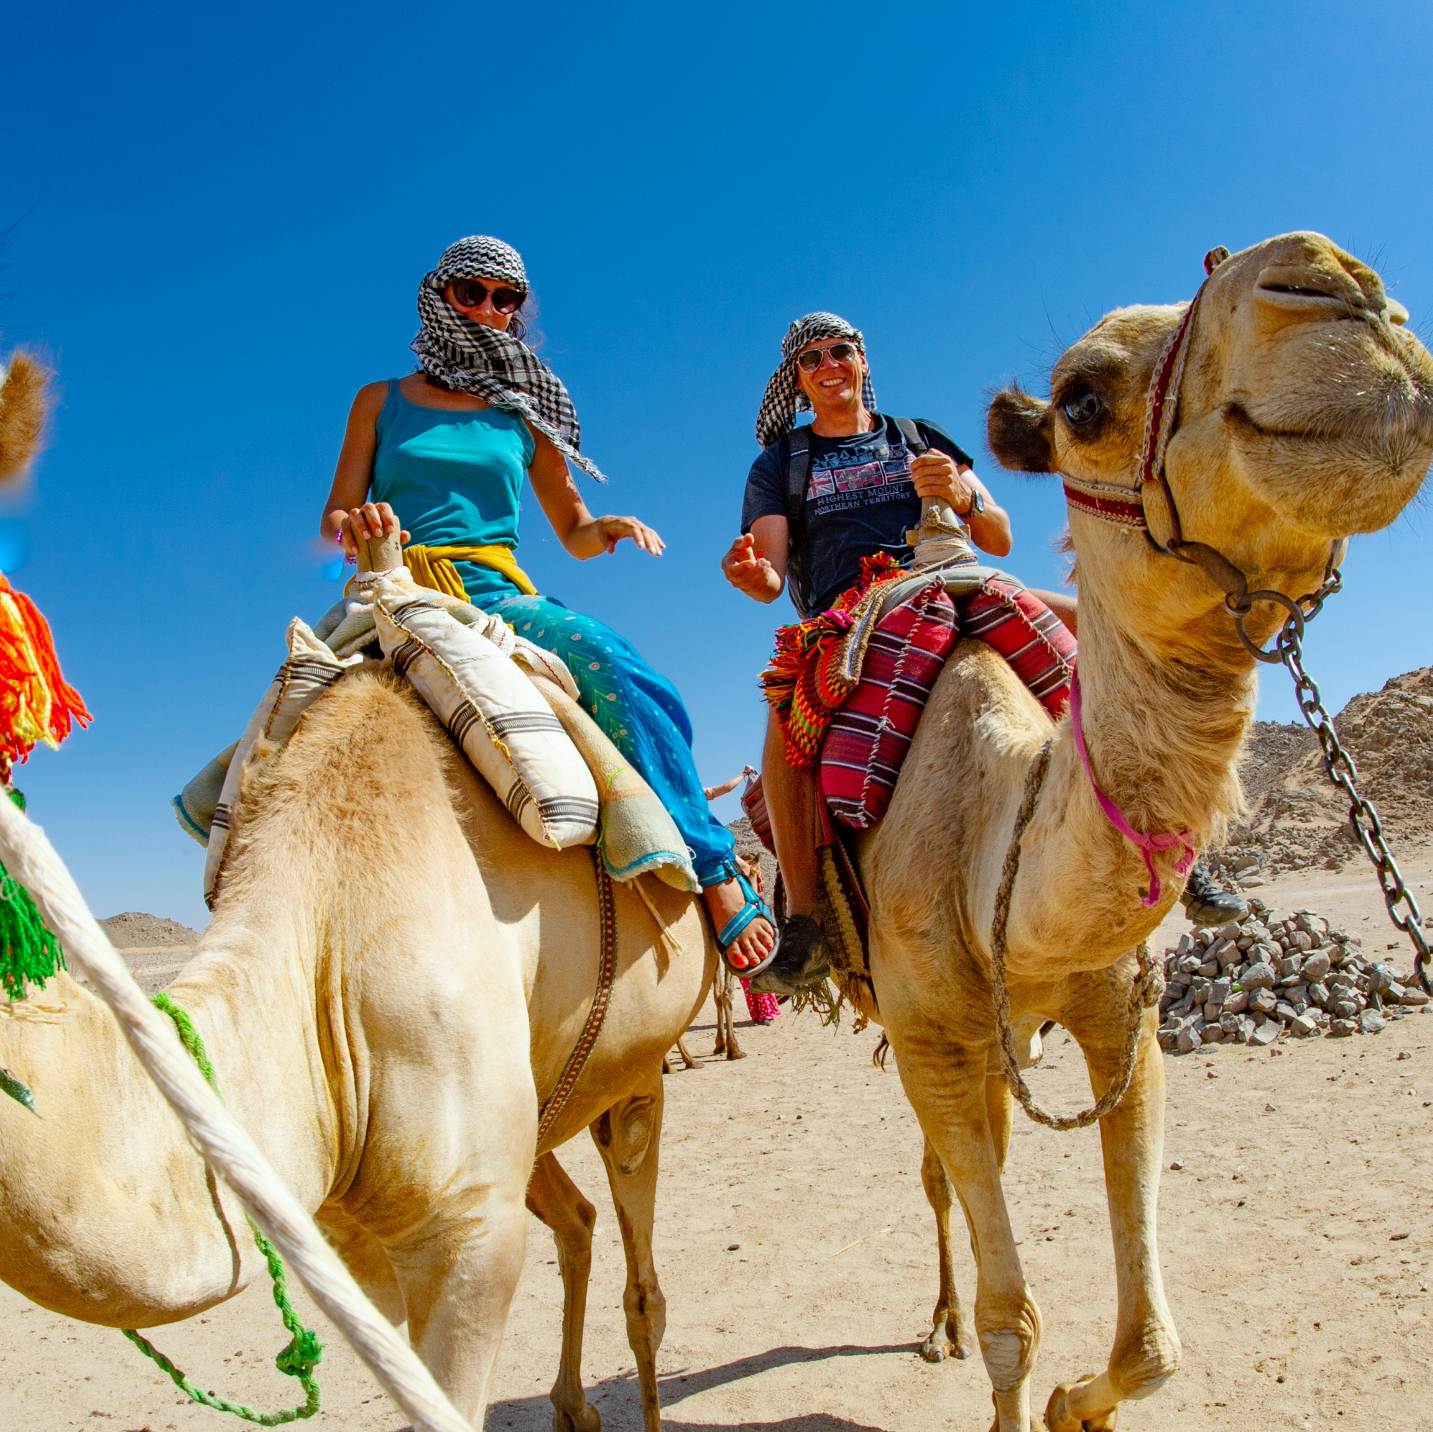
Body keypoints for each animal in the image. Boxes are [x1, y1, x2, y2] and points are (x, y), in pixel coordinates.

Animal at [0, 667, 713, 1432]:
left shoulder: (470, 1233)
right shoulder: (357, 1233)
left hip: (629, 1079)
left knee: (641, 1277)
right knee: (576, 1221)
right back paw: (572, 1408)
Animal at [859, 229, 1433, 1427]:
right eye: (1080, 400)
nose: (1342, 292)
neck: (993, 856)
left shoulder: (1122, 1014)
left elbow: (1154, 1343)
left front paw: (1083, 1401)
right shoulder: (928, 1036)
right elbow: (1010, 1323)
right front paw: (1014, 1378)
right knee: (942, 1179)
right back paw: (937, 1322)